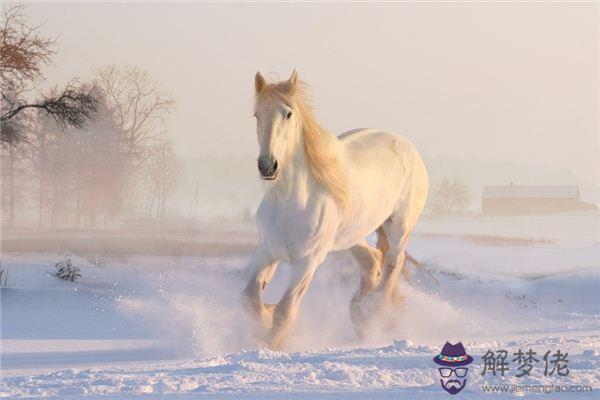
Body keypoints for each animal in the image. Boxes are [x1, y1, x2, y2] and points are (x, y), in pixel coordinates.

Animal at [241, 70, 428, 348]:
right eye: (257, 114)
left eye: (288, 114)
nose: (268, 166)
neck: (289, 204)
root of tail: (406, 146)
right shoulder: (267, 251)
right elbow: (250, 299)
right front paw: (263, 322)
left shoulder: (308, 262)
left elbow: (285, 311)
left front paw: (271, 343)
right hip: (351, 235)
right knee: (372, 260)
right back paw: (360, 315)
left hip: (399, 227)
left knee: (393, 263)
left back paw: (376, 314)